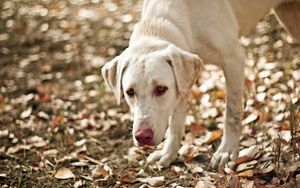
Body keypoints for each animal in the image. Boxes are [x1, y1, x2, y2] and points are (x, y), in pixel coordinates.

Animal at [101, 0, 300, 167]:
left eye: (160, 89)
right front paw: (168, 153)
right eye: (130, 92)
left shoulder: (234, 59)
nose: (142, 137)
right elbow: (176, 122)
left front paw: (227, 151)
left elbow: (231, 113)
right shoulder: (182, 82)